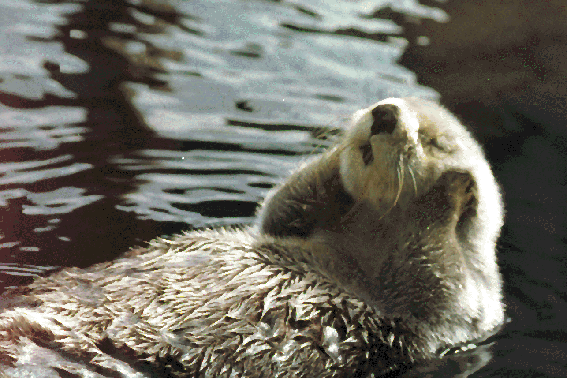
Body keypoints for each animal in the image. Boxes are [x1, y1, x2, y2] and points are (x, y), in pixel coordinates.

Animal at [0, 97, 506, 376]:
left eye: (436, 142)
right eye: (390, 99)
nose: (385, 113)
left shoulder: (456, 315)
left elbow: (442, 278)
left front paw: (452, 193)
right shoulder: (288, 223)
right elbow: (284, 204)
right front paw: (340, 151)